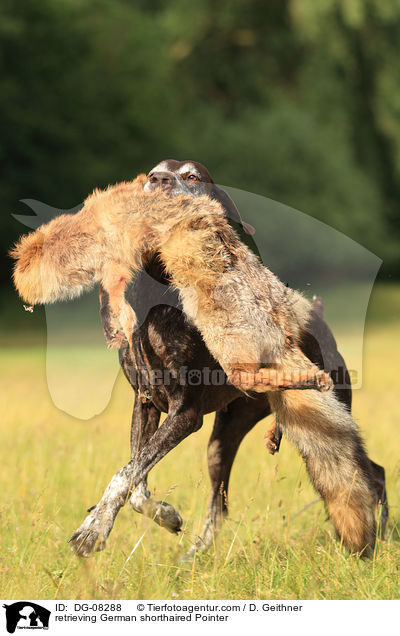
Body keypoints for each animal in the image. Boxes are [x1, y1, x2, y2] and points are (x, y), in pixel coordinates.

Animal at [69, 161, 388, 560]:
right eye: (151, 174)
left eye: (192, 177)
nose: (159, 180)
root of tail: (318, 315)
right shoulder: (145, 404)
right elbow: (136, 480)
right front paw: (164, 515)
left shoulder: (185, 413)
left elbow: (125, 475)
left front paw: (91, 531)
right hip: (222, 440)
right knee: (219, 504)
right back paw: (194, 555)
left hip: (327, 415)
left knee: (373, 473)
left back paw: (380, 542)